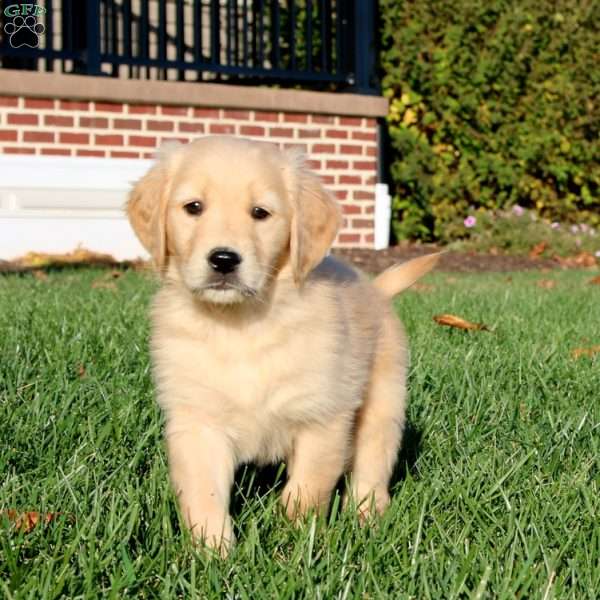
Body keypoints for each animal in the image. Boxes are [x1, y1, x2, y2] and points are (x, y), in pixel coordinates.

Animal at [126, 136, 438, 552]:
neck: (240, 324)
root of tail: (375, 290)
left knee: (373, 463)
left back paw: (367, 516)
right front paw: (212, 552)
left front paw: (294, 543)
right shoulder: (198, 421)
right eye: (193, 207)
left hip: (383, 400)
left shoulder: (322, 417)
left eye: (260, 213)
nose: (223, 260)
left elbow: (307, 489)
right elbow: (203, 493)